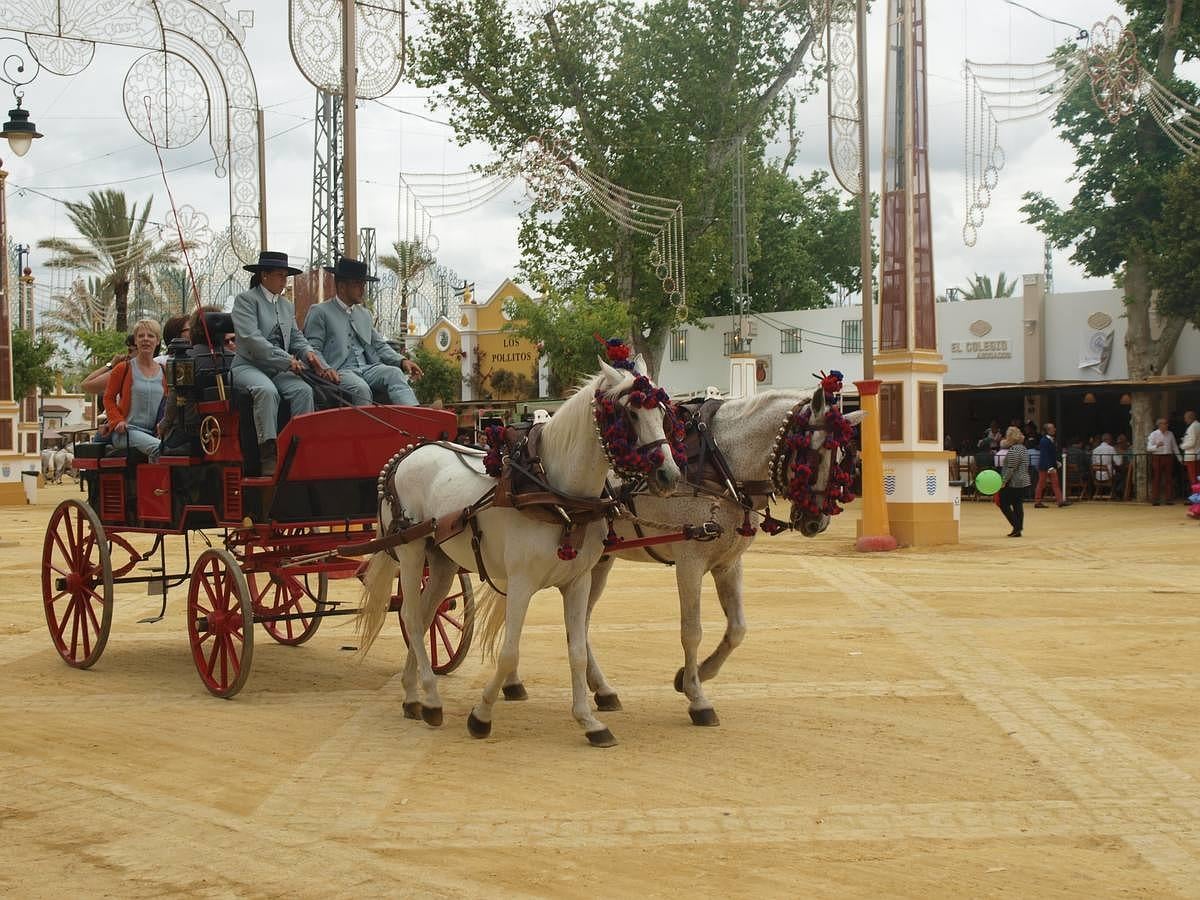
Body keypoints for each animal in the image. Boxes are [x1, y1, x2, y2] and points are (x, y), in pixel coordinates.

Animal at [355, 360, 681, 748]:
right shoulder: (522, 583)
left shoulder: (578, 581)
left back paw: (411, 695)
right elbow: (509, 653)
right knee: (411, 616)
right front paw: (481, 716)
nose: (670, 474)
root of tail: (407, 454)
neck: (554, 492)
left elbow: (576, 650)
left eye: (662, 412)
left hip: (442, 560)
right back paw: (431, 699)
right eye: (630, 413)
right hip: (410, 549)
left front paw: (589, 721)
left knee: (425, 613)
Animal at [496, 379, 864, 724]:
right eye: (813, 455)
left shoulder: (729, 564)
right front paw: (697, 697)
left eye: (842, 458)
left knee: (577, 625)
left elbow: (737, 629)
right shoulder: (690, 563)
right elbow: (692, 631)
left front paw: (695, 675)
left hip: (597, 562)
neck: (719, 463)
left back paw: (597, 689)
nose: (817, 521)